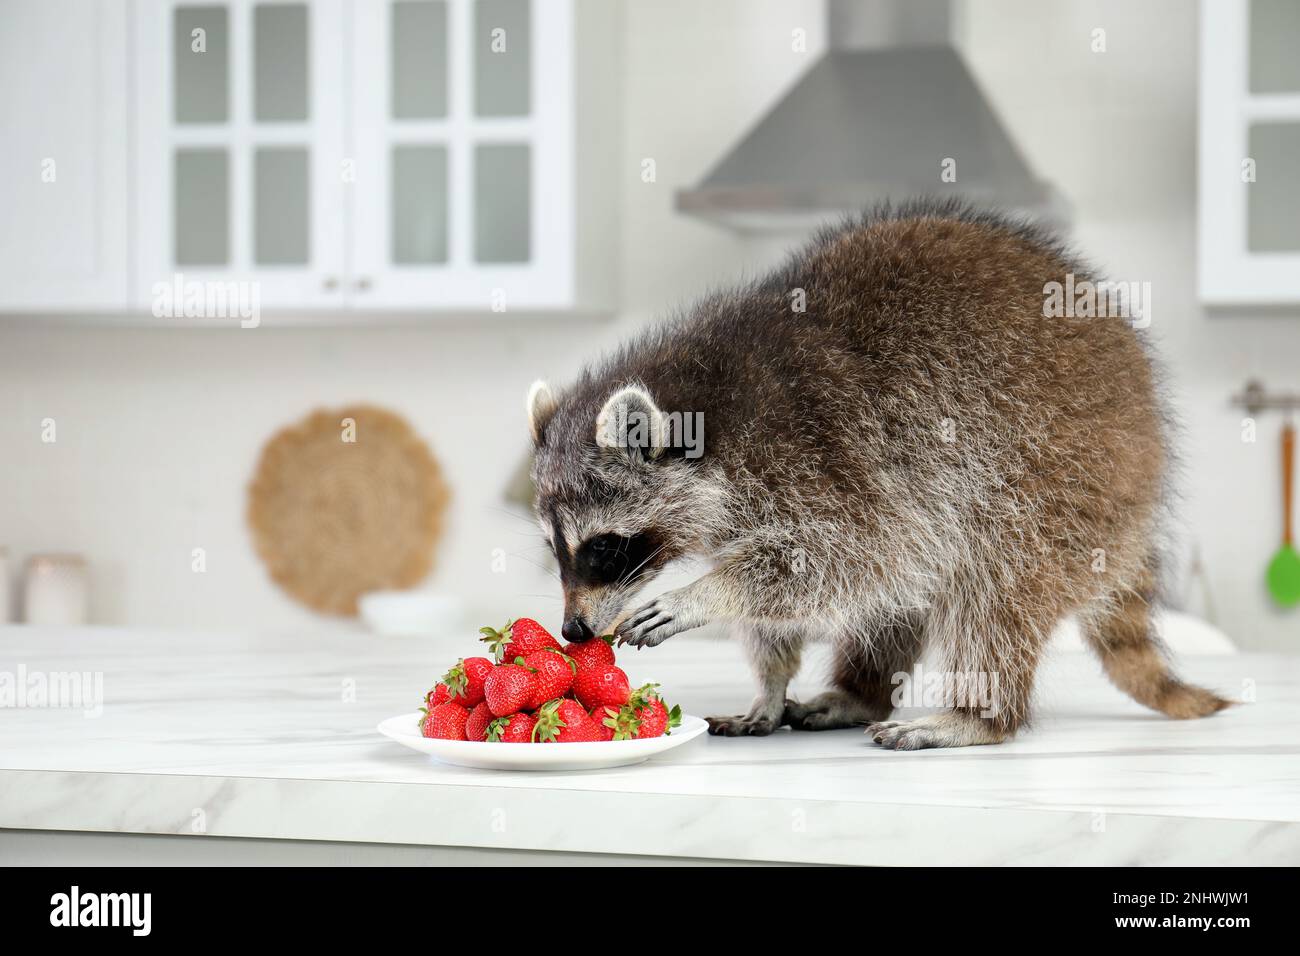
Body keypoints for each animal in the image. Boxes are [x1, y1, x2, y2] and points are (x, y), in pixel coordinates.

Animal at [525, 200, 1227, 749]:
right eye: (556, 549)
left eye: (603, 549)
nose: (573, 631)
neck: (707, 407)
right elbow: (817, 592)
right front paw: (769, 682)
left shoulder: (825, 452)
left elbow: (841, 557)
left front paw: (705, 594)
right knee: (915, 583)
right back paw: (862, 691)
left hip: (1064, 469)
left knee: (994, 584)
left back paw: (981, 714)